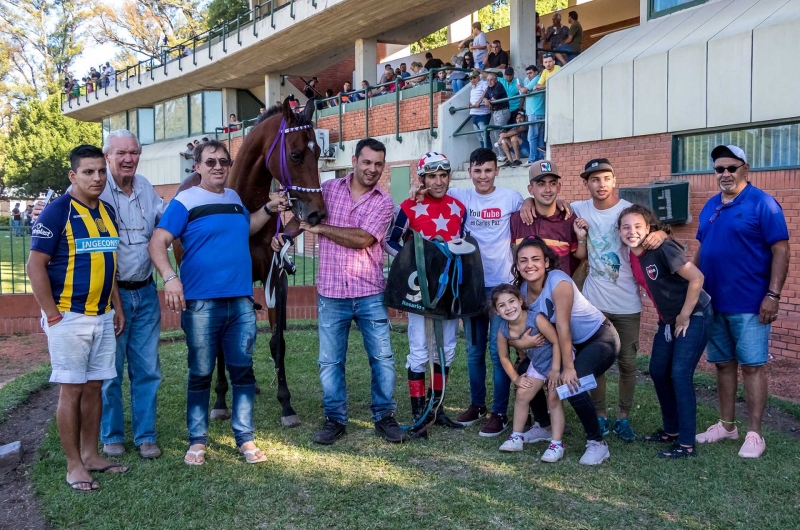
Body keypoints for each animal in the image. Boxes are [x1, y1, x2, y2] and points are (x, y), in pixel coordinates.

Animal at [174, 98, 324, 424]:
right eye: (295, 154)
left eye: (318, 152)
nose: (318, 213)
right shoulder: (220, 288)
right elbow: (219, 343)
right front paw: (219, 400)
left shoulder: (275, 280)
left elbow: (277, 341)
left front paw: (286, 404)